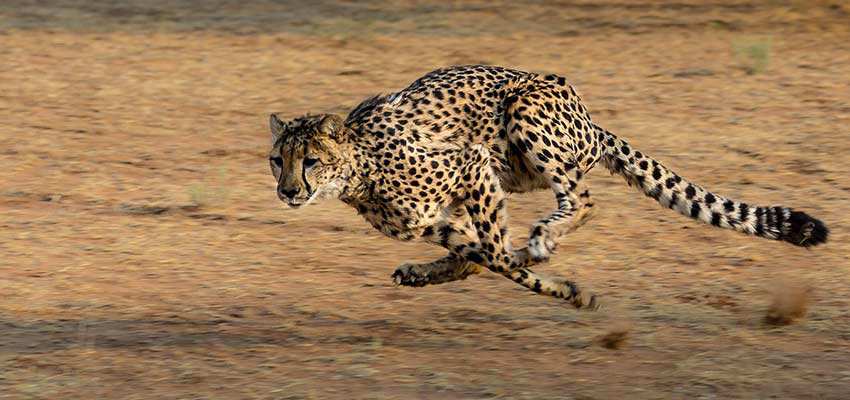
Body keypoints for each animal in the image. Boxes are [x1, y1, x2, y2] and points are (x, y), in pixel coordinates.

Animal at [266, 65, 828, 310]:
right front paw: (561, 286)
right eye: (277, 161)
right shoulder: (434, 219)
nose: (288, 192)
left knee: (582, 199)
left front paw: (560, 283)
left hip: (524, 115)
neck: (359, 169)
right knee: (485, 250)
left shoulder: (471, 163)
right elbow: (482, 256)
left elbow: (496, 254)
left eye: (310, 161)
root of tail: (590, 119)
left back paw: (542, 238)